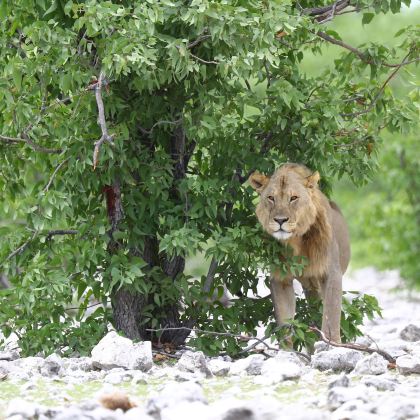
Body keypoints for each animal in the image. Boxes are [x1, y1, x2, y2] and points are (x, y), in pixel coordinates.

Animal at [249, 162, 352, 342]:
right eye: (271, 198)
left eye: (293, 198)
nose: (280, 220)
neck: (295, 240)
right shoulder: (280, 278)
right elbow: (284, 324)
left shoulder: (332, 272)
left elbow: (331, 315)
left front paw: (332, 344)